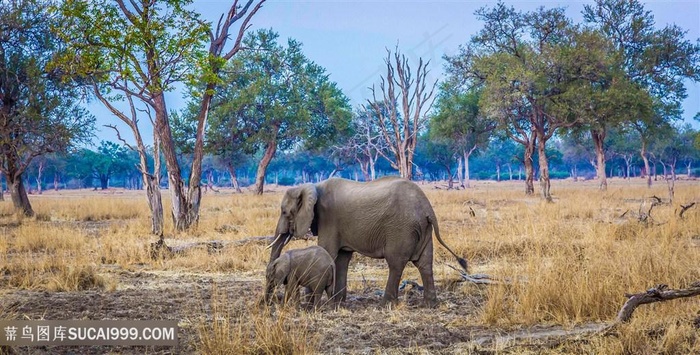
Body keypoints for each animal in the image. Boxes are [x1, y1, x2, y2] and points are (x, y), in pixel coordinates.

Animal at [266, 178, 468, 308]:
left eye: (284, 212)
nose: (267, 304)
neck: (312, 186)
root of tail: (427, 208)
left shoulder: (329, 219)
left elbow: (328, 251)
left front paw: (309, 306)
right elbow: (342, 259)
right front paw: (338, 304)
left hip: (401, 228)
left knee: (395, 263)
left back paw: (385, 305)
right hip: (423, 229)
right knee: (425, 263)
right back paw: (430, 305)